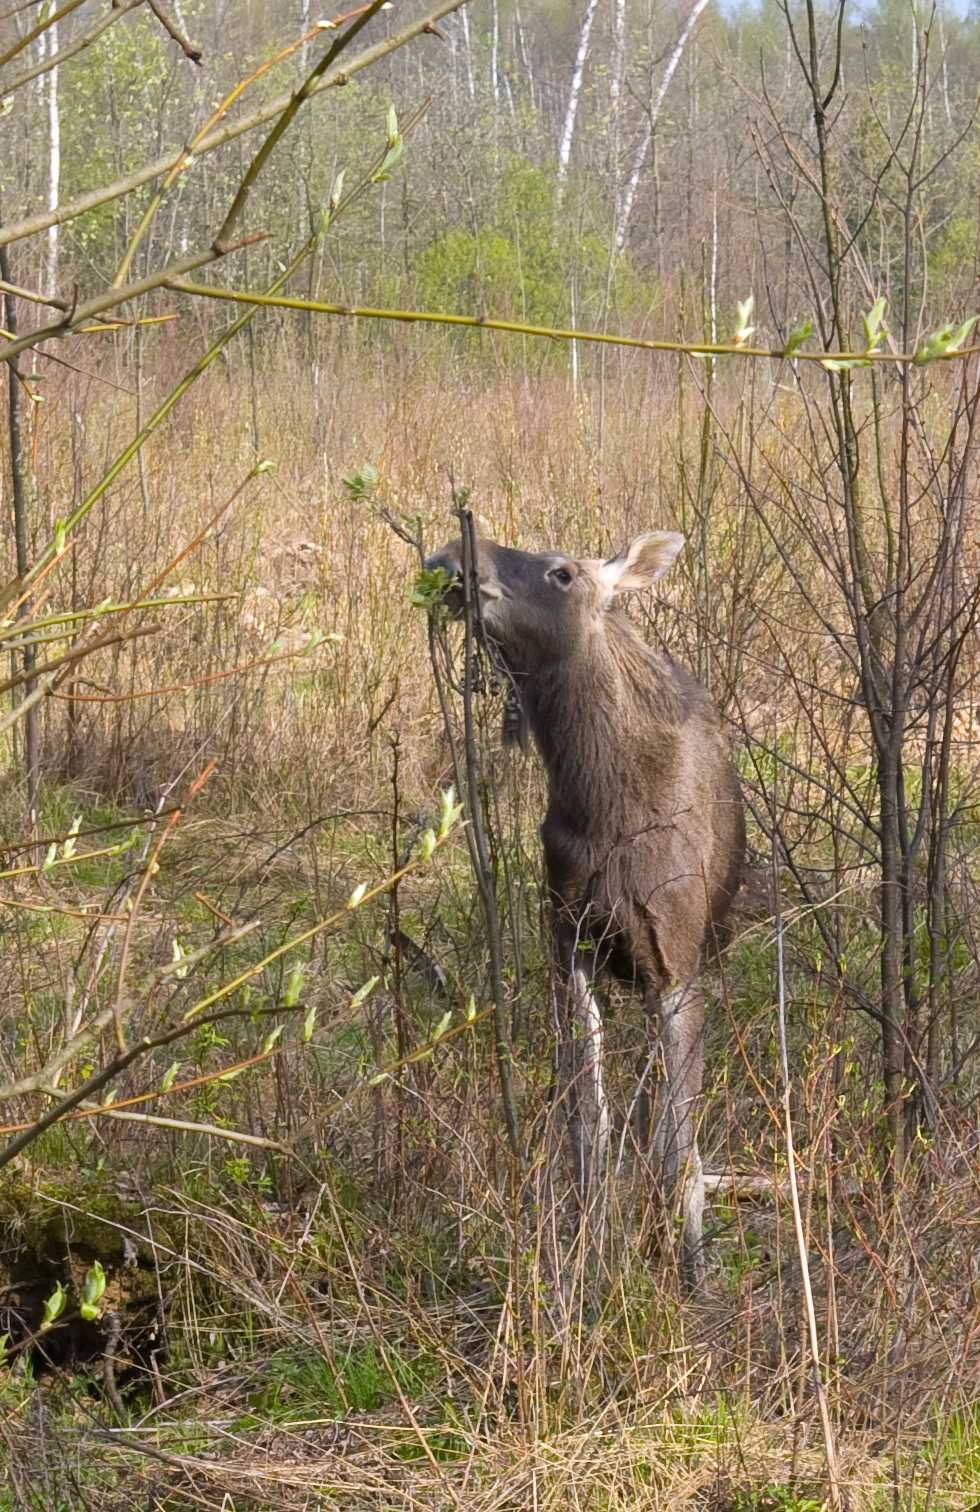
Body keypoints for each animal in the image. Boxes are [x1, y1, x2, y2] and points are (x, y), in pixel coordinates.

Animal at [426, 526, 744, 1282]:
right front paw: (588, 1247)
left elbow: (675, 1141)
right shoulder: (568, 944)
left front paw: (688, 1268)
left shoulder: (676, 964)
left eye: (561, 573)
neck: (602, 801)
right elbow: (587, 1124)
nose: (449, 557)